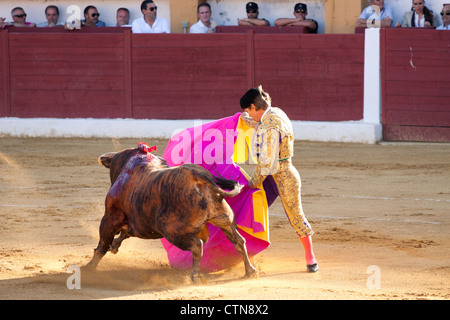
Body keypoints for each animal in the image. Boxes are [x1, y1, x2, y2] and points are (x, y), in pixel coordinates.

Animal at [85, 142, 258, 282]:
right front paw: (114, 247)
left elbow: (102, 245)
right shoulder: (137, 224)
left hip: (173, 232)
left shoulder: (110, 219)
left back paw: (196, 276)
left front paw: (89, 268)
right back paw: (250, 271)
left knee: (197, 245)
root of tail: (196, 175)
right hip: (224, 220)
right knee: (239, 241)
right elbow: (123, 234)